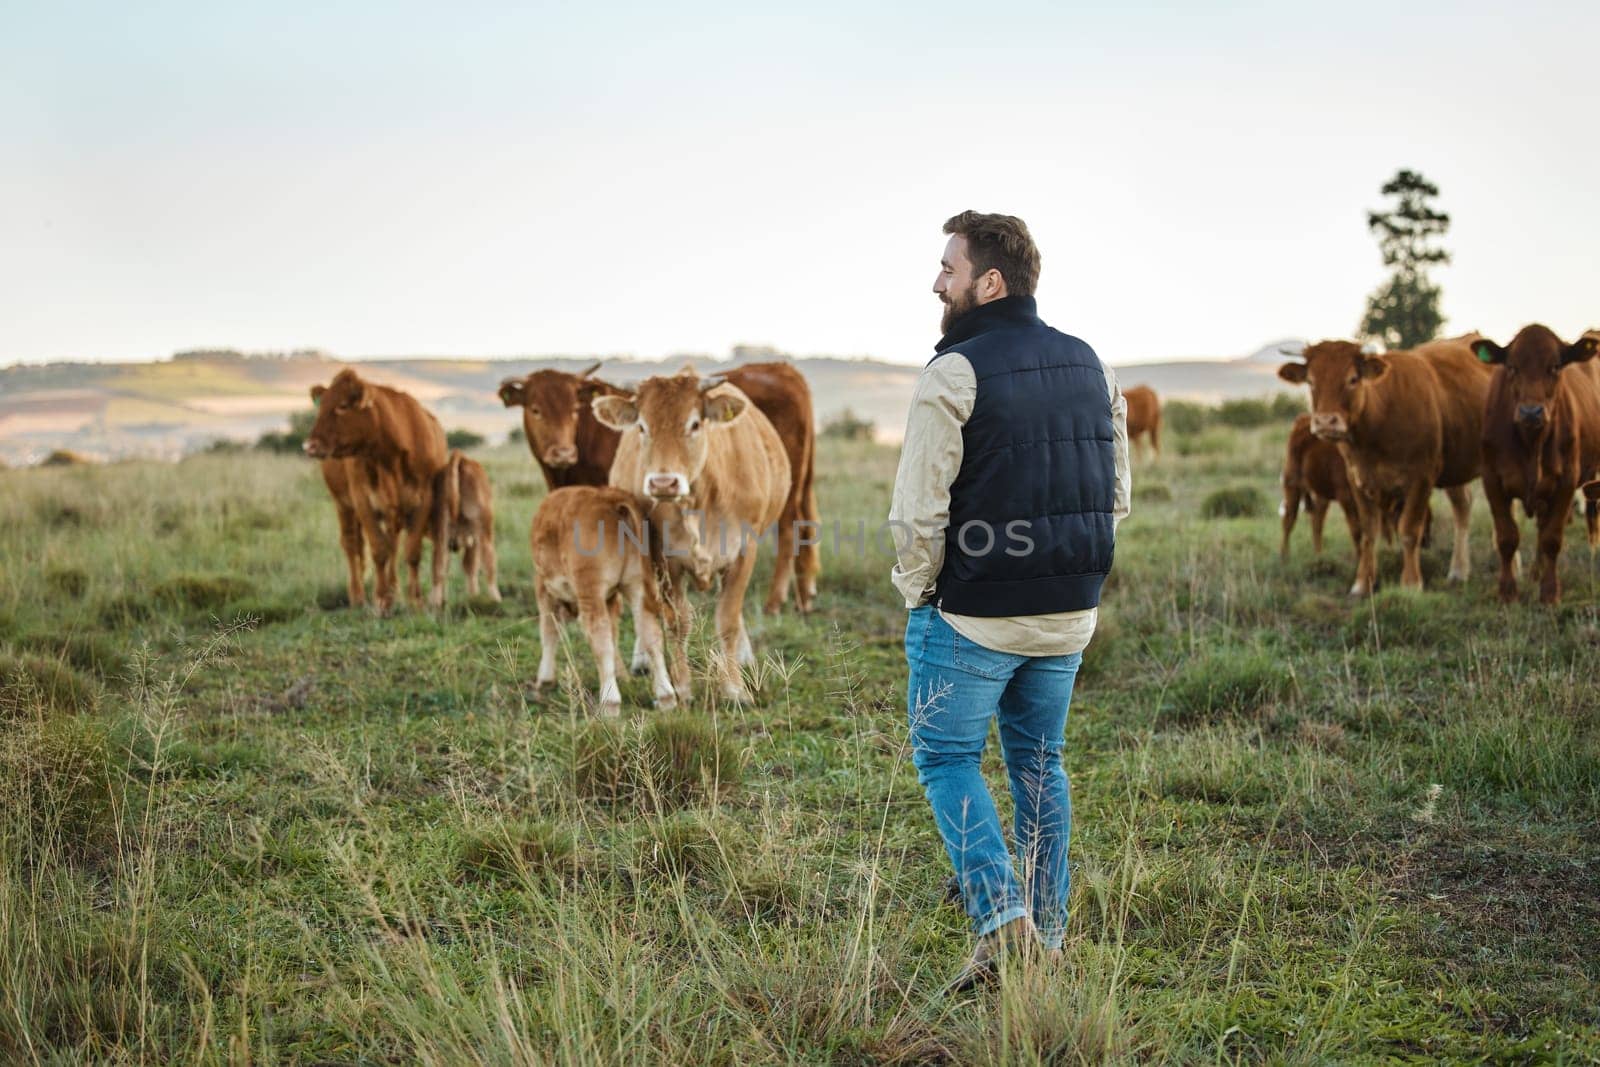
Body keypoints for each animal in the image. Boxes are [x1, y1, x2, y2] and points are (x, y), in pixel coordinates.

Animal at [304, 369, 451, 614]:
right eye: (321, 405)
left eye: (342, 406)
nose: (309, 446)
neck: (389, 458)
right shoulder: (362, 500)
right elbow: (379, 550)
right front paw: (382, 600)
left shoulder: (423, 500)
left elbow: (411, 551)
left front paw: (415, 600)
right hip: (343, 504)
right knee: (352, 545)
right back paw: (358, 596)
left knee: (392, 544)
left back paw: (394, 590)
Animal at [499, 361, 825, 617]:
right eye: (535, 409)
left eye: (574, 410)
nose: (562, 453)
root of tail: (781, 368)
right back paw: (805, 595)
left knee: (789, 528)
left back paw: (775, 601)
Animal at [528, 489, 672, 713]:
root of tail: (612, 498)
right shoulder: (612, 596)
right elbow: (615, 633)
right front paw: (622, 675)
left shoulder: (543, 588)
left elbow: (549, 630)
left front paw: (545, 679)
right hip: (637, 585)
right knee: (650, 633)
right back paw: (666, 697)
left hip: (590, 590)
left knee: (600, 636)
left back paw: (610, 701)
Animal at [595, 371, 793, 703]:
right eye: (642, 426)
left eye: (695, 424)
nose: (663, 483)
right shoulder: (664, 558)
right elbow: (678, 622)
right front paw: (683, 686)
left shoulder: (744, 551)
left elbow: (728, 619)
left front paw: (734, 687)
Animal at [1472, 326, 1600, 604]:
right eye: (1512, 367)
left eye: (1554, 366)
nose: (1531, 412)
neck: (1531, 443)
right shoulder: (1491, 479)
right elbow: (1507, 537)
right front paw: (1507, 593)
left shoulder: (1566, 481)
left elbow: (1551, 538)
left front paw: (1550, 593)